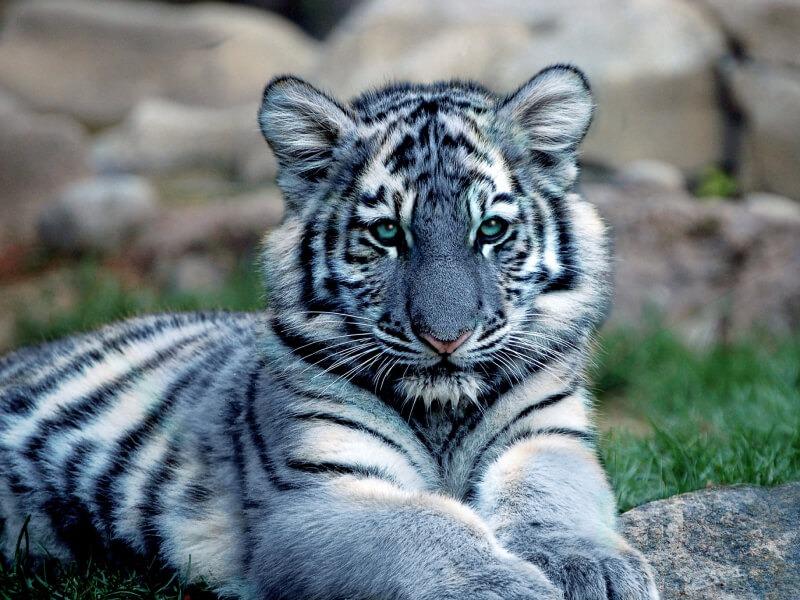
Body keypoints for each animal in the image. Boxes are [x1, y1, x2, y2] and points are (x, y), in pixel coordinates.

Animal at [0, 65, 659, 599]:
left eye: (491, 230)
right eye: (387, 233)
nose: (446, 339)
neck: (440, 412)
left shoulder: (547, 439)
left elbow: (551, 499)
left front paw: (595, 568)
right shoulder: (313, 497)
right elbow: (426, 527)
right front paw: (503, 588)